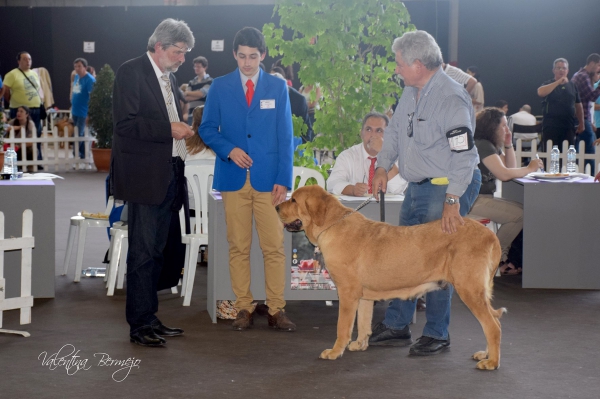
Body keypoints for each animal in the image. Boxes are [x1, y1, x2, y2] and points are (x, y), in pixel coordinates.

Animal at [276, 186, 506, 370]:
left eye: (294, 200)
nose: (277, 207)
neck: (332, 224)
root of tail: (491, 235)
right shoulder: (363, 296)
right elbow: (364, 324)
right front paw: (359, 345)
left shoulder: (347, 293)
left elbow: (343, 327)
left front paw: (334, 352)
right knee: (494, 321)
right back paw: (486, 354)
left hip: (469, 289)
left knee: (492, 326)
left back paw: (492, 362)